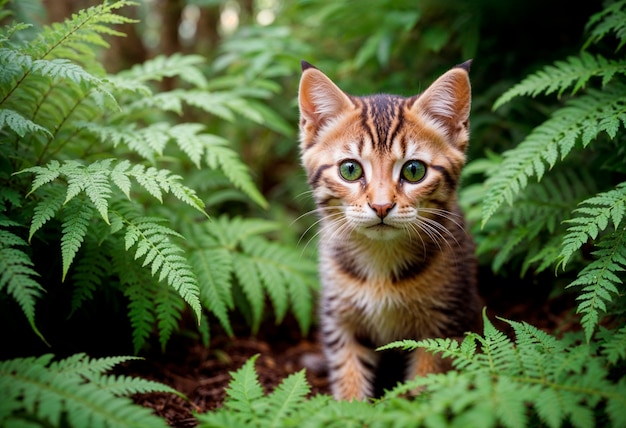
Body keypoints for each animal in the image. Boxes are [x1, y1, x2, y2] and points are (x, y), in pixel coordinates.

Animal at [294, 61, 480, 402]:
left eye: (414, 170)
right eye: (350, 169)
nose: (381, 206)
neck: (380, 260)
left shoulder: (444, 321)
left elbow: (428, 381)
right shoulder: (340, 318)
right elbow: (348, 371)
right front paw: (348, 407)